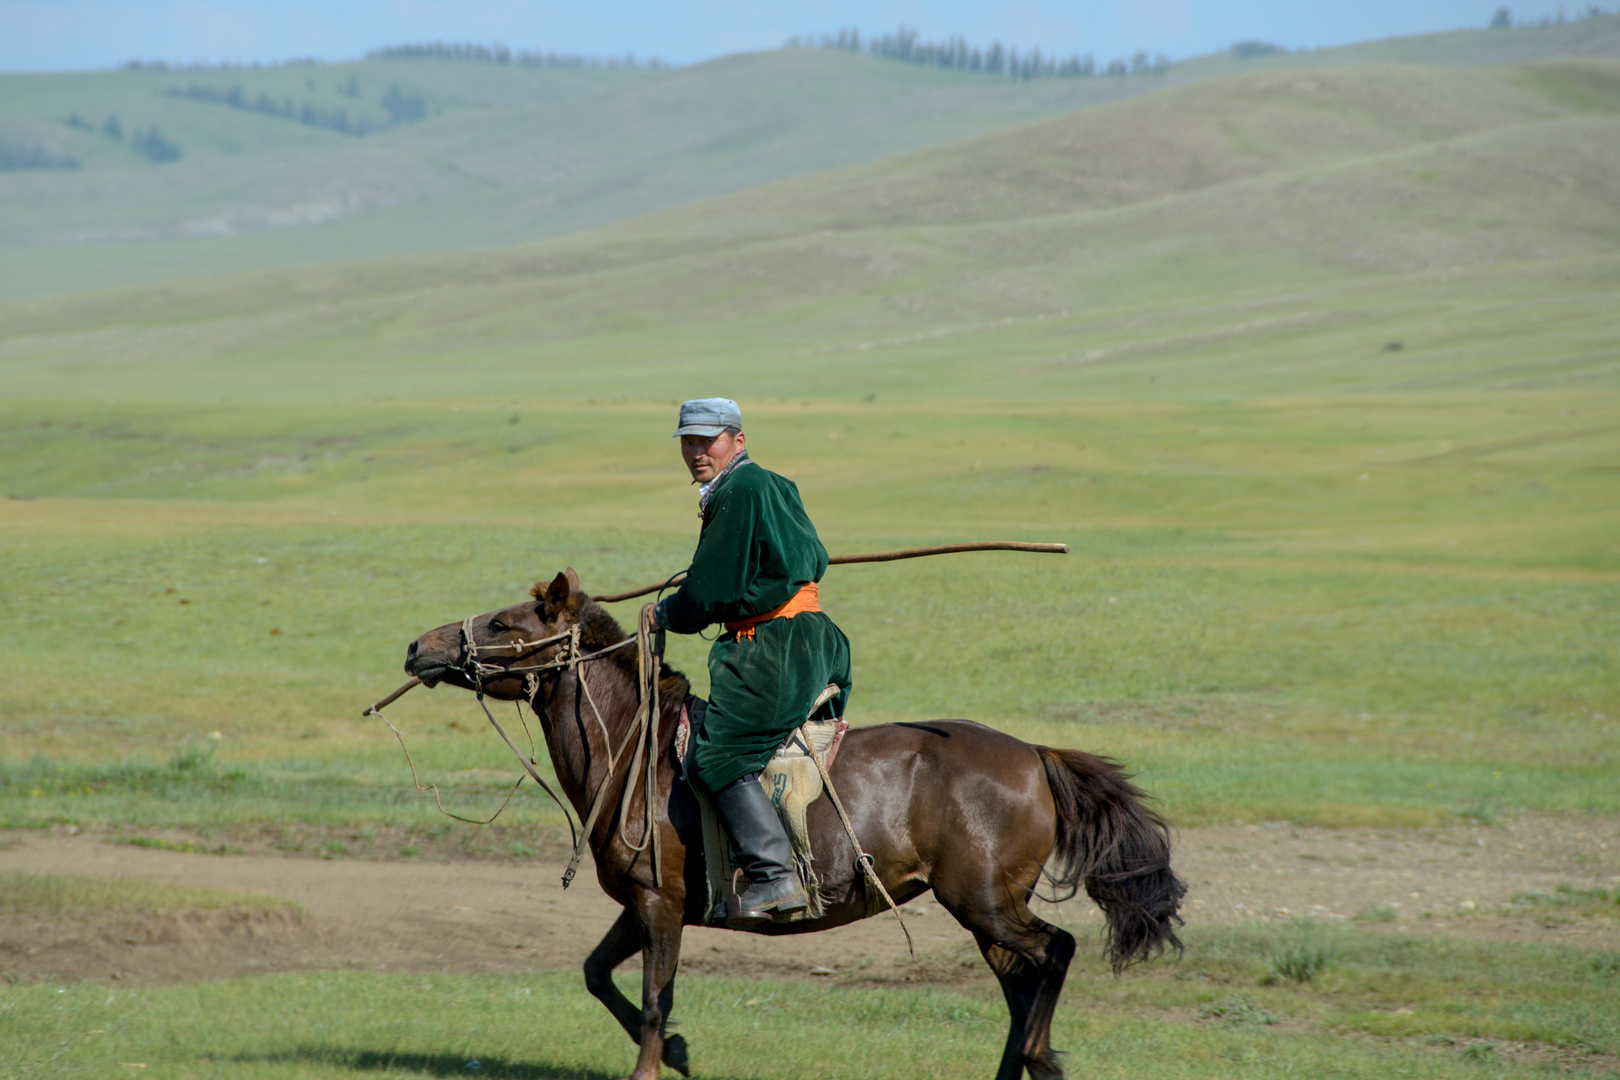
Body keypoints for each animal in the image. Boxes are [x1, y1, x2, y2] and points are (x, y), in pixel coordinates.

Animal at [401, 569, 1192, 1075]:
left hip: (987, 901)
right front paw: (683, 1054)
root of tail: (1033, 753)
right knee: (1020, 985)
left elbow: (655, 1003)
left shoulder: (660, 905)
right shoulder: (649, 904)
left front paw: (659, 1060)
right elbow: (598, 974)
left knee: (1054, 952)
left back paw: (1034, 1054)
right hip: (983, 909)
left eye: (503, 623)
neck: (636, 748)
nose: (417, 647)